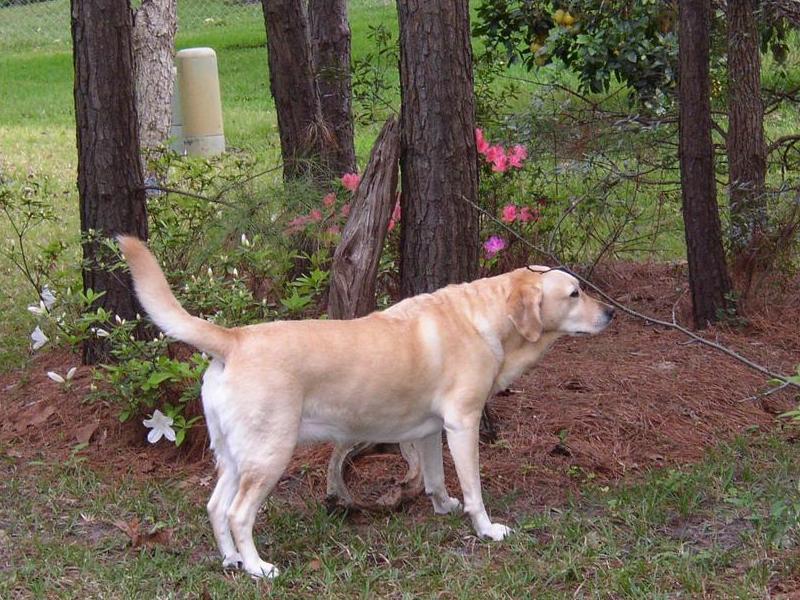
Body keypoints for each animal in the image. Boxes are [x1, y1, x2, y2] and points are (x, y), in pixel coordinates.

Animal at [119, 234, 616, 576]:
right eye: (574, 294)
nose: (612, 313)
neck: (487, 318)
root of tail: (234, 339)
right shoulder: (463, 423)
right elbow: (475, 489)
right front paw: (486, 529)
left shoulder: (431, 430)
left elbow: (436, 478)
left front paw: (443, 507)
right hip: (269, 454)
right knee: (238, 514)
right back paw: (258, 567)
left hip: (235, 457)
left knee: (215, 507)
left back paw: (232, 561)